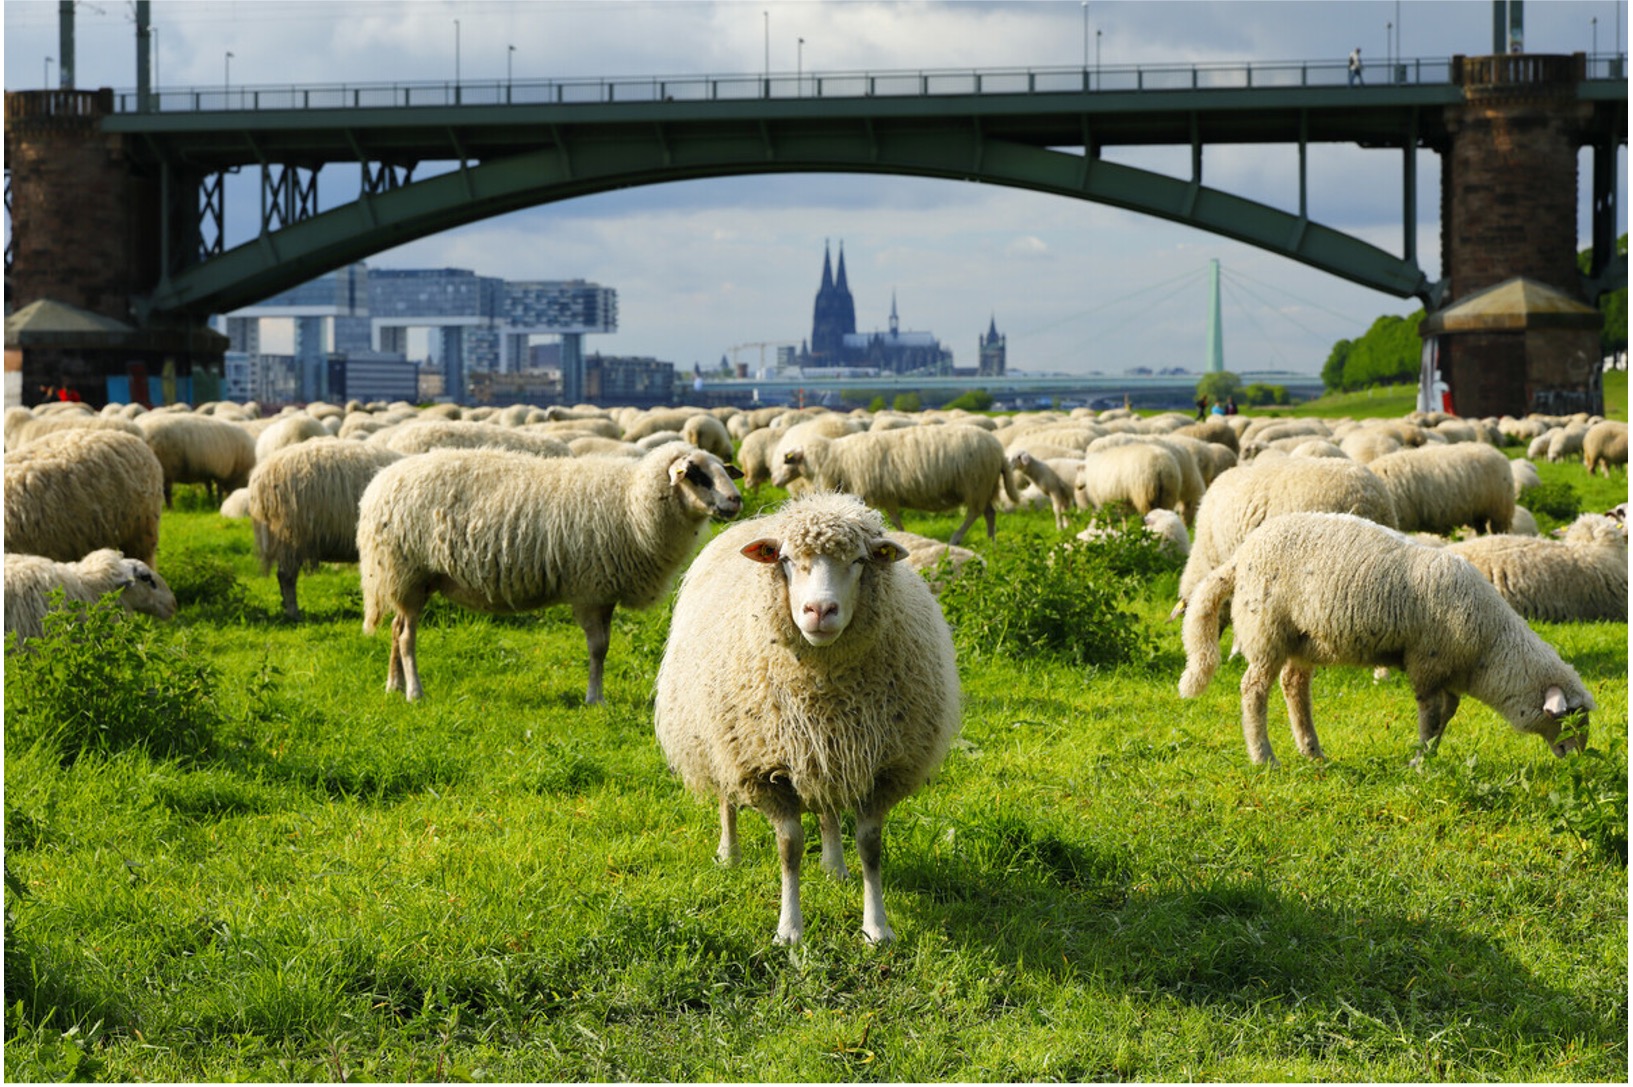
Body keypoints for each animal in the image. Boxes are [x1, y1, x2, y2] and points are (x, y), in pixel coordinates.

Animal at [357, 443, 743, 704]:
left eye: (725, 469)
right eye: (695, 475)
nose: (736, 500)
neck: (633, 504)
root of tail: (378, 484)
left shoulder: (604, 591)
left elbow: (603, 648)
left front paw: (596, 695)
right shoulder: (590, 589)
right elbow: (597, 648)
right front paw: (595, 699)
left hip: (409, 581)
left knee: (395, 629)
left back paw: (393, 685)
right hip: (407, 572)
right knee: (406, 636)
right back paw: (414, 692)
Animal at [654, 491, 960, 944]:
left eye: (860, 560)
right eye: (785, 559)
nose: (819, 610)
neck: (824, 690)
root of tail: (754, 521)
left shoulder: (882, 768)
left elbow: (870, 846)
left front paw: (877, 928)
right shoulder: (764, 768)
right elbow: (790, 849)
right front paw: (789, 930)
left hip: (821, 753)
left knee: (827, 808)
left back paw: (834, 864)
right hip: (718, 738)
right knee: (727, 797)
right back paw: (729, 853)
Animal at [771, 425, 1018, 546]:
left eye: (787, 460)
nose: (775, 481)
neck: (835, 458)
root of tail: (999, 450)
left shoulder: (866, 491)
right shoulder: (886, 493)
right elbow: (894, 517)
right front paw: (901, 534)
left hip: (976, 483)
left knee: (974, 513)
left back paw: (957, 539)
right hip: (985, 486)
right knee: (989, 513)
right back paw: (992, 541)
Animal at [1179, 511, 1595, 766]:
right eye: (1574, 718)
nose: (1576, 758)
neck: (1490, 648)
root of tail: (1240, 556)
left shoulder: (1448, 673)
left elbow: (1447, 714)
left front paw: (1431, 754)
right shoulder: (1428, 664)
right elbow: (1431, 716)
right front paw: (1419, 761)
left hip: (1303, 637)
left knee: (1293, 684)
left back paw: (1313, 751)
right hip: (1267, 628)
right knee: (1254, 689)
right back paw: (1264, 757)